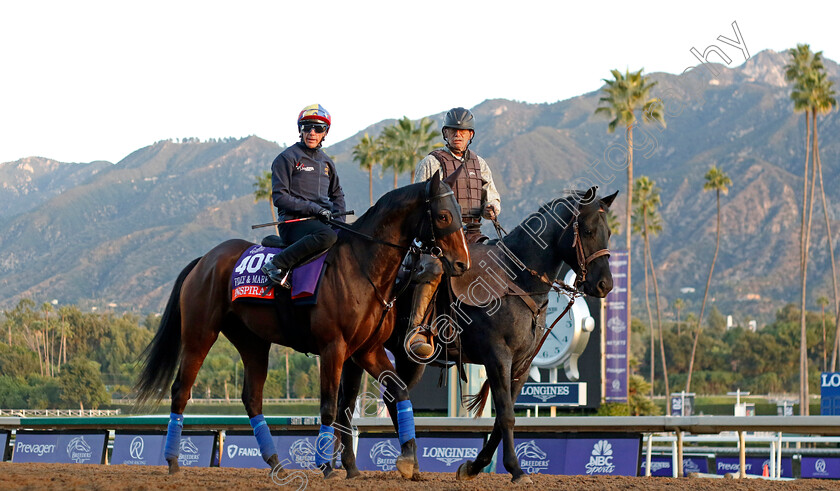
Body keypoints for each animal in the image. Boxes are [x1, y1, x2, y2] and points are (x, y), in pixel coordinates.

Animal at [134, 171, 470, 478]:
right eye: (443, 215)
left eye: (458, 212)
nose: (462, 263)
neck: (362, 267)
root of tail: (205, 260)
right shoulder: (334, 347)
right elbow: (330, 406)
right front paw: (327, 466)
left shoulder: (367, 350)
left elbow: (396, 392)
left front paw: (407, 460)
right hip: (200, 333)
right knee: (181, 390)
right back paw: (173, 461)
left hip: (253, 341)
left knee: (252, 398)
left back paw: (276, 463)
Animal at [334, 187, 616, 484]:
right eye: (587, 230)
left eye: (608, 232)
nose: (604, 284)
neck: (513, 280)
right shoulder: (497, 358)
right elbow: (506, 415)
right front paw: (516, 470)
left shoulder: (521, 365)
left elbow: (501, 418)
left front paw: (473, 466)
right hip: (357, 353)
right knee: (347, 403)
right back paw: (351, 465)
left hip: (408, 358)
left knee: (392, 396)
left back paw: (409, 461)